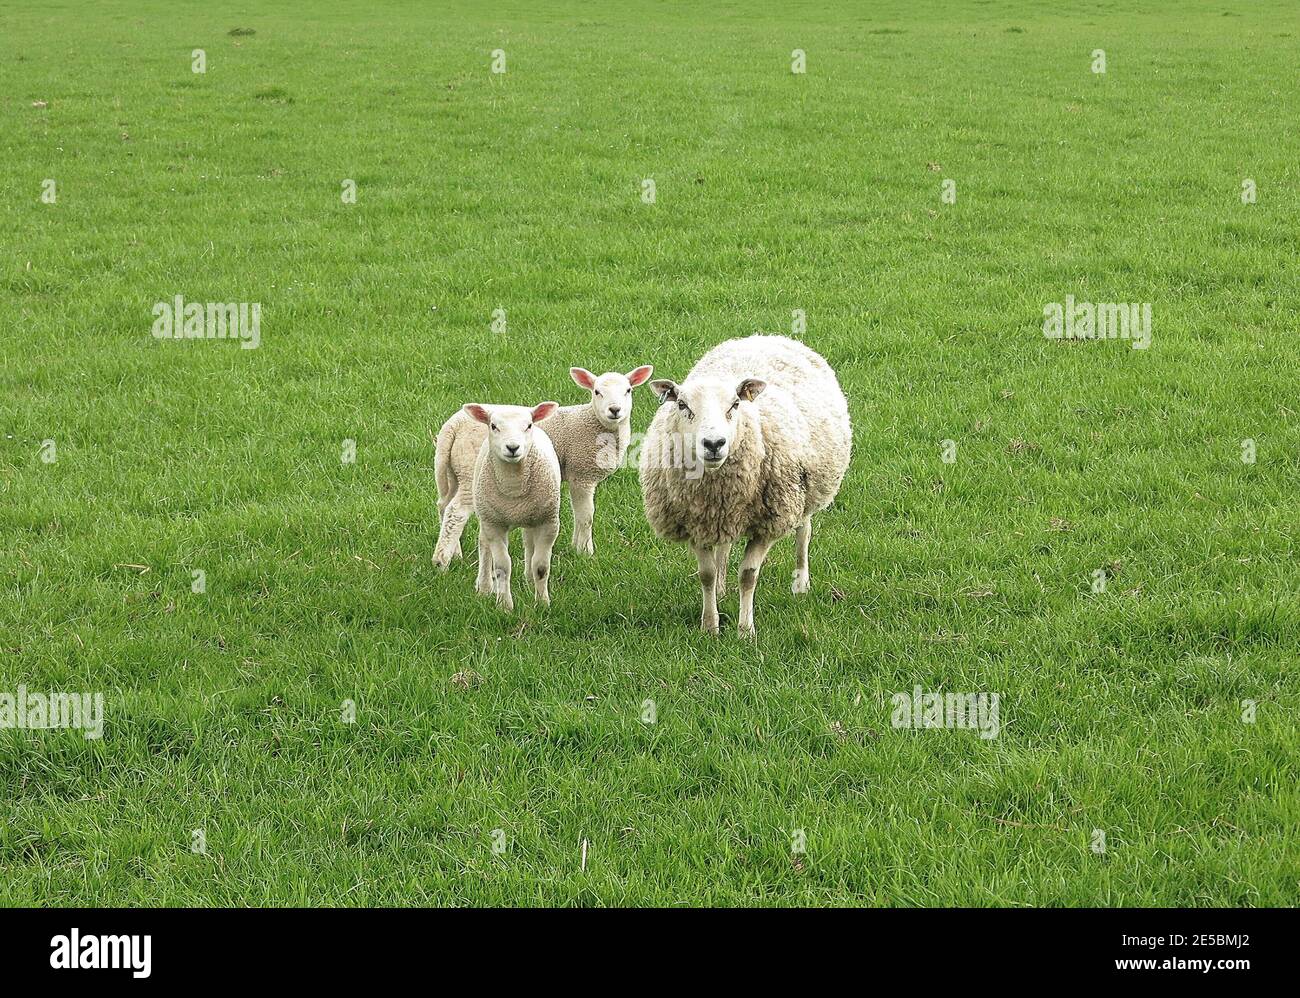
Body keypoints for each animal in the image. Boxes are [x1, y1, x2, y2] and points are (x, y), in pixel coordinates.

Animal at [433, 365, 653, 569]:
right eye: (597, 392)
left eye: (628, 390)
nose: (614, 410)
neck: (595, 425)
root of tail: (452, 426)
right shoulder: (582, 473)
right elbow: (586, 515)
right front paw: (586, 552)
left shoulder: (575, 475)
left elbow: (577, 513)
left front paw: (575, 547)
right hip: (471, 469)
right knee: (456, 510)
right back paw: (442, 561)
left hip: (454, 469)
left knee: (444, 505)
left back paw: (455, 553)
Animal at [462, 401, 561, 611]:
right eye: (493, 426)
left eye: (528, 425)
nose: (513, 447)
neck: (514, 490)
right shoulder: (494, 524)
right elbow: (502, 566)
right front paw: (504, 605)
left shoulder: (549, 522)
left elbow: (541, 566)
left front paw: (542, 603)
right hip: (486, 513)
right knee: (484, 546)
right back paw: (484, 587)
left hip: (532, 516)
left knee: (529, 543)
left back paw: (529, 580)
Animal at [638, 335, 851, 637]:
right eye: (682, 405)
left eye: (735, 405)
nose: (714, 443)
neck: (716, 487)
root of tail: (766, 336)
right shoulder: (694, 522)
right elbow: (706, 574)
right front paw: (710, 625)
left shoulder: (769, 523)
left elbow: (748, 575)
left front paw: (745, 630)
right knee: (724, 548)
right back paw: (721, 589)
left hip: (807, 492)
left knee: (803, 532)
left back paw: (800, 583)